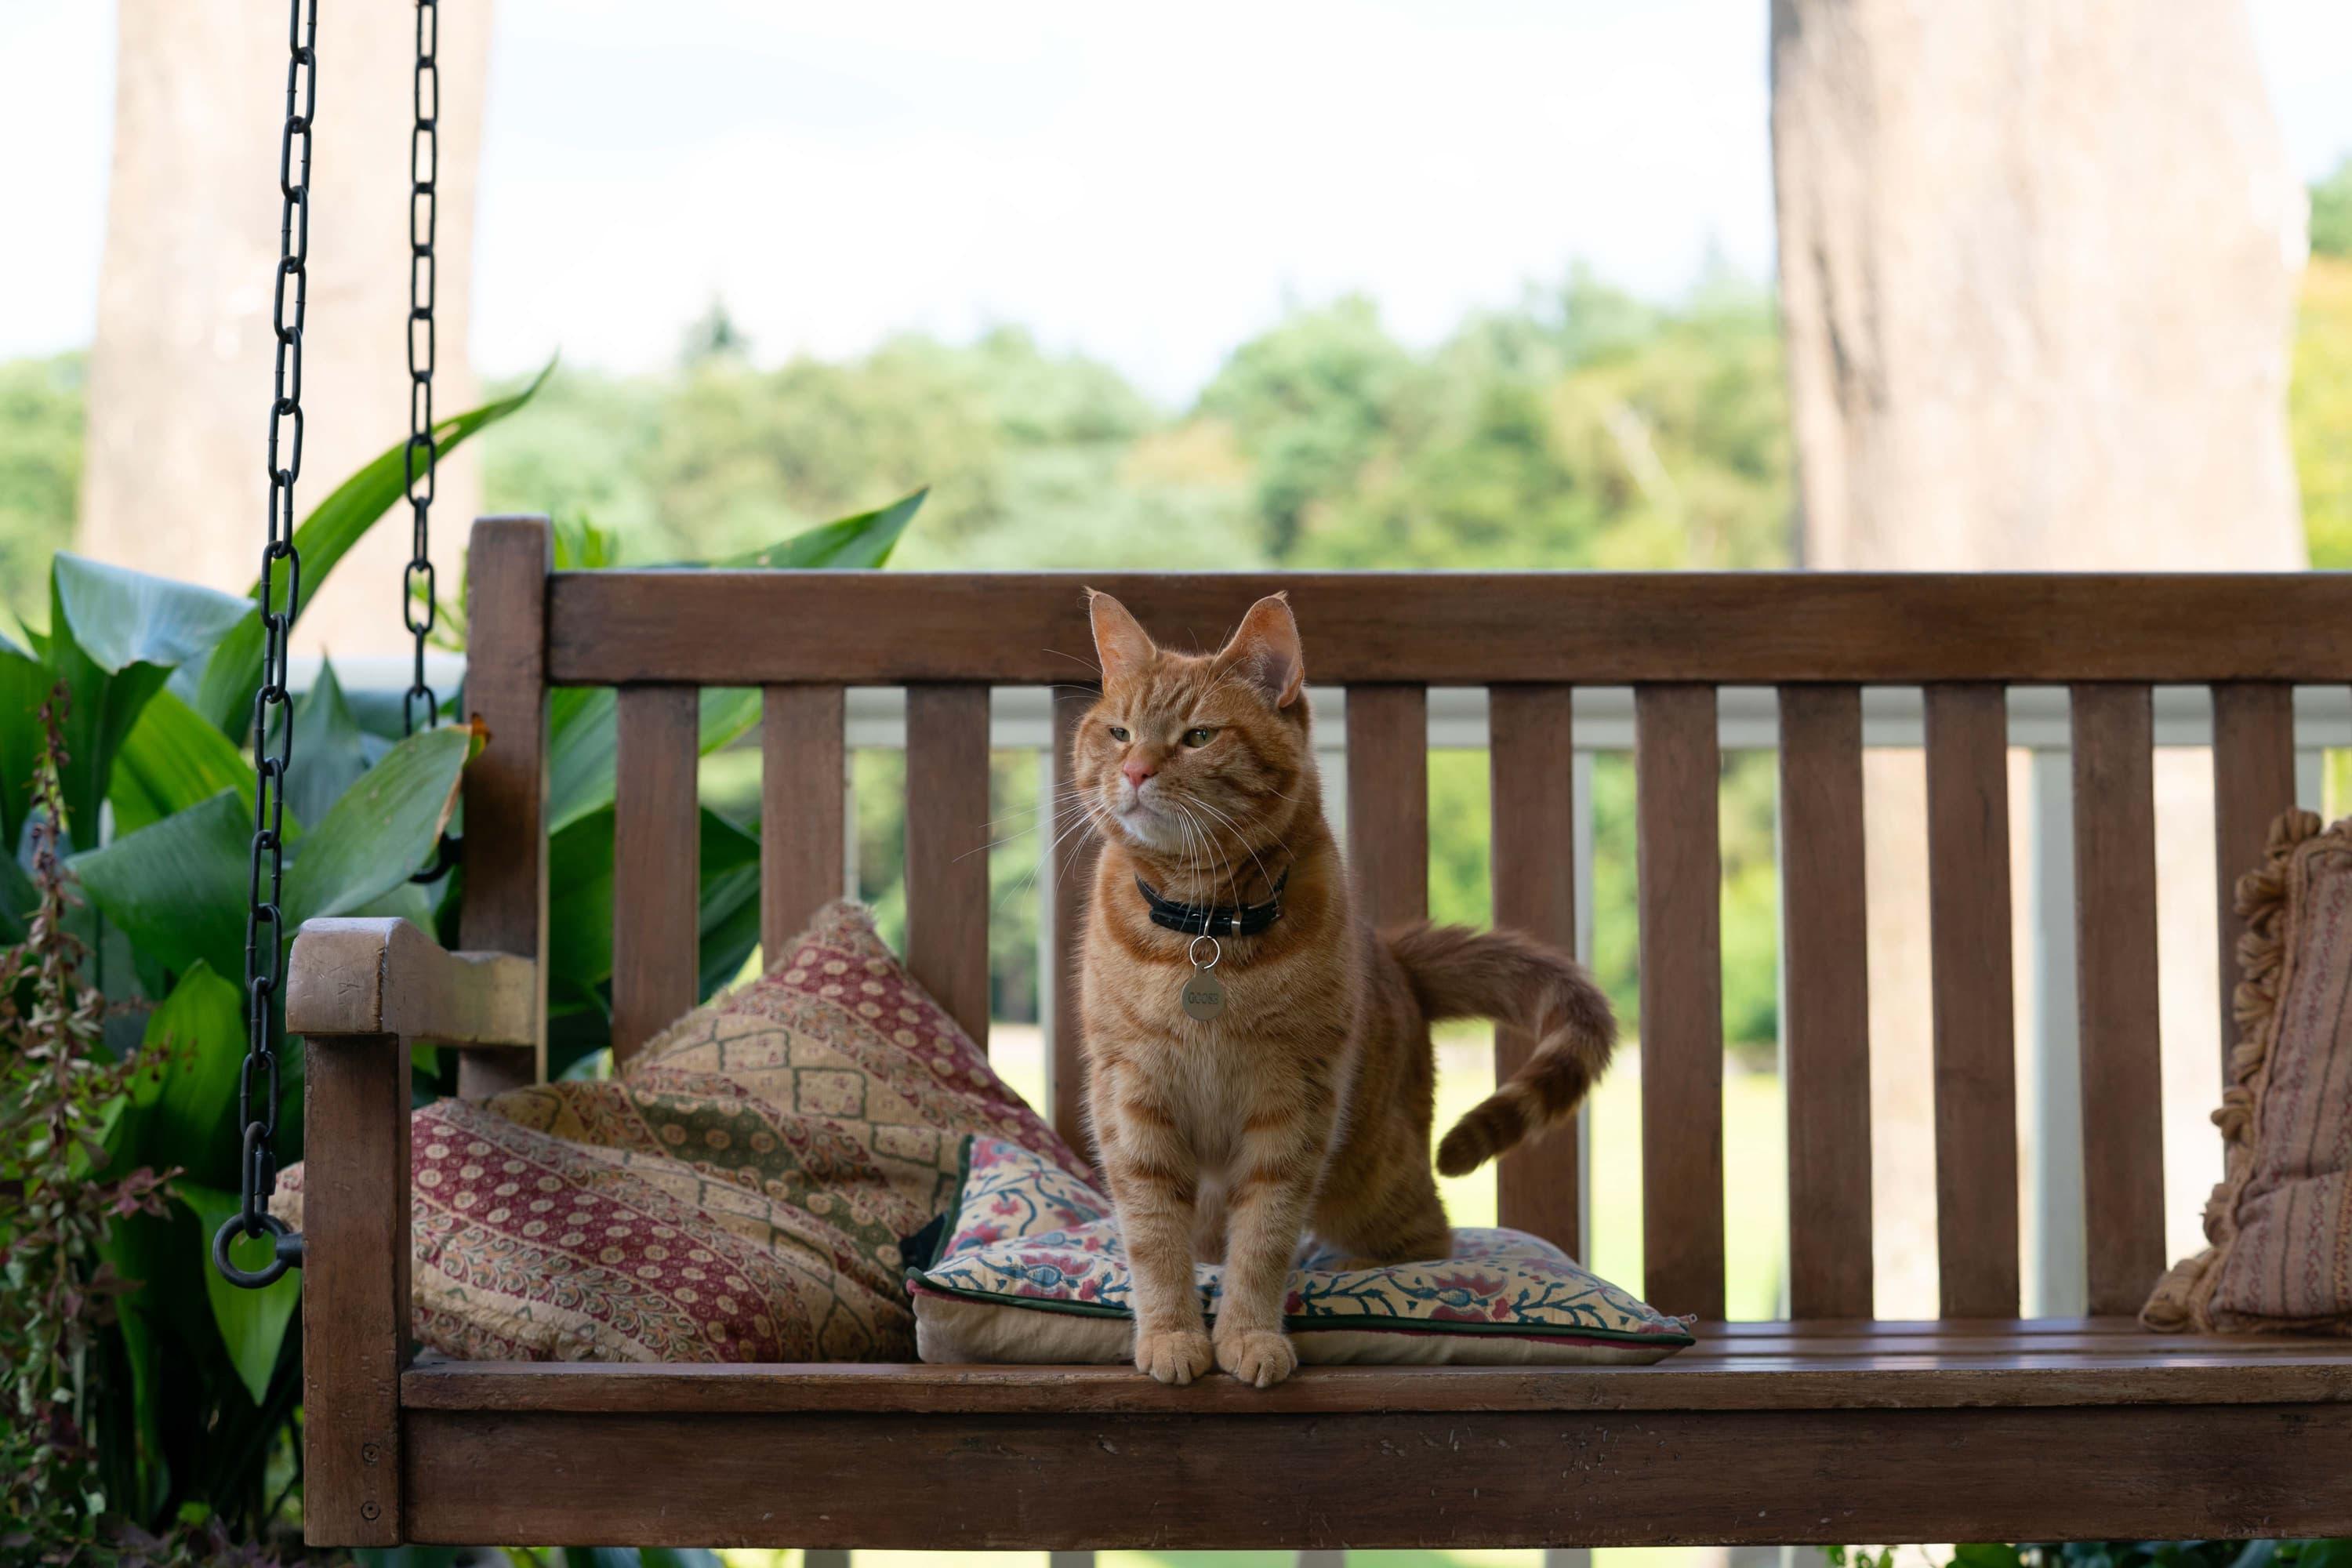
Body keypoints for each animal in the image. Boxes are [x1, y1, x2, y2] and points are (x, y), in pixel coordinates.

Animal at [1073, 587, 1609, 1382]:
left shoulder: (1294, 1105)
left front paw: (1247, 1334)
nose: (1136, 770)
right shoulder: (1132, 1100)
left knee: (1430, 1240)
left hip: (1371, 1175)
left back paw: (1354, 1270)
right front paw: (1170, 1334)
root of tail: (1395, 957)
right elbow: (1154, 1237)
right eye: (1118, 732)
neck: (1202, 932)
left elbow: (1264, 1241)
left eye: (1198, 736)